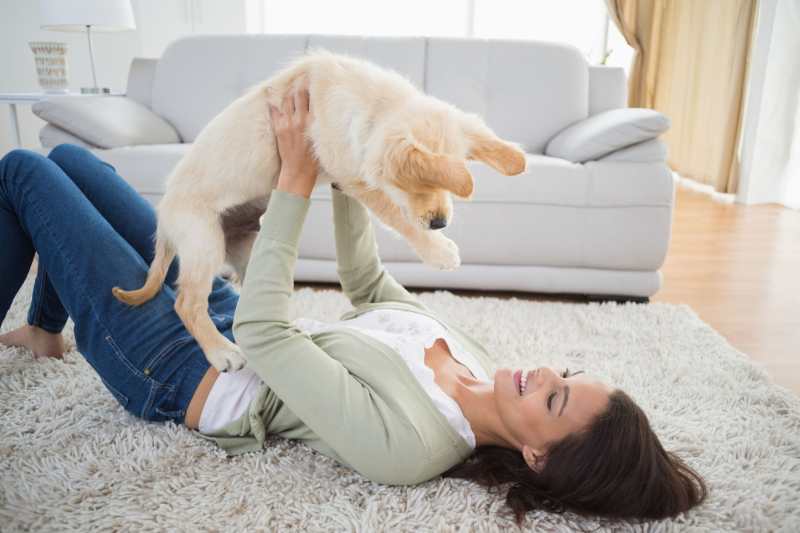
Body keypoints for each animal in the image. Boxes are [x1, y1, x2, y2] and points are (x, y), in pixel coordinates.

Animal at [111, 51, 524, 374]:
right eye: (414, 189)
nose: (440, 222)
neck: (374, 105)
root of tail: (164, 217)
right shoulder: (356, 178)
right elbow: (396, 216)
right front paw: (437, 250)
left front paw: (511, 158)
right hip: (203, 240)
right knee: (187, 303)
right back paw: (221, 352)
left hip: (247, 245)